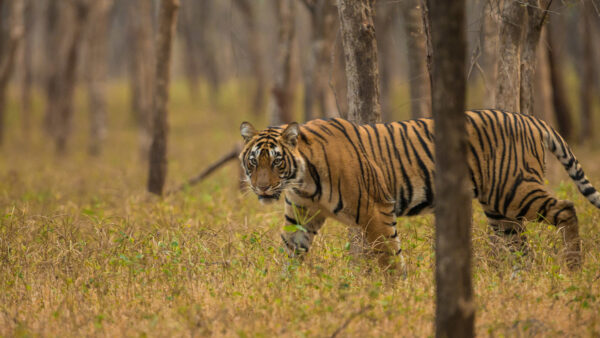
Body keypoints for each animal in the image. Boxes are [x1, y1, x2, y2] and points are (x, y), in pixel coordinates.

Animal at [238, 109, 600, 270]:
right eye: (254, 162)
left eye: (277, 162)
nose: (262, 188)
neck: (303, 178)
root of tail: (531, 118)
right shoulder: (300, 216)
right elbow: (290, 253)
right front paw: (284, 291)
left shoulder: (376, 209)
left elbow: (389, 256)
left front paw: (394, 293)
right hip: (501, 210)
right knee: (520, 246)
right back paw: (518, 278)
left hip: (514, 191)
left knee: (567, 208)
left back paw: (573, 266)